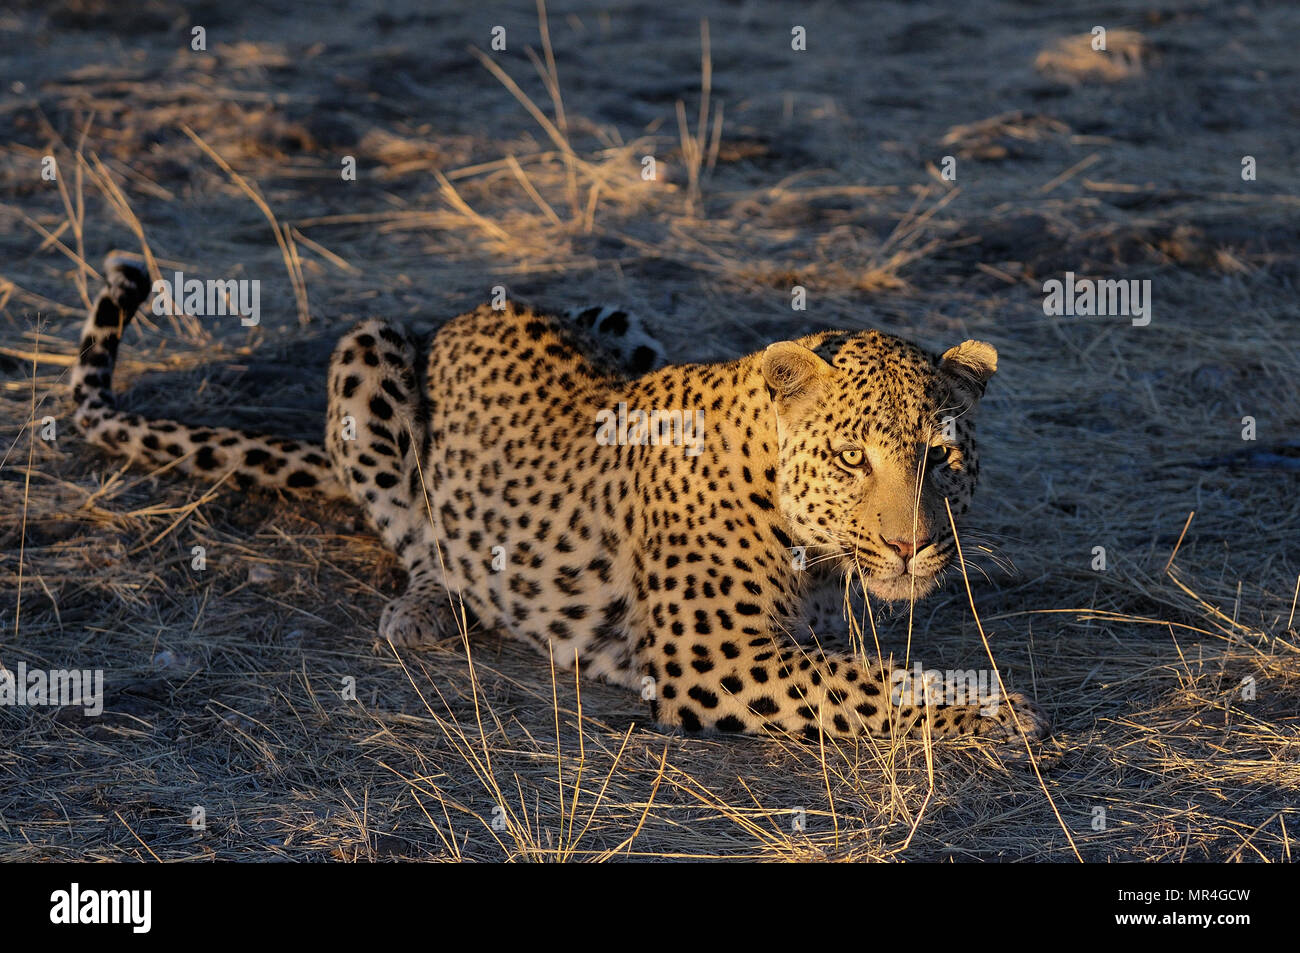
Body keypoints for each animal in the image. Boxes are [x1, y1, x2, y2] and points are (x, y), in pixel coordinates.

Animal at [71, 252, 1045, 743]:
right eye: (850, 456)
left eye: (940, 456)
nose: (913, 546)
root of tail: (478, 311)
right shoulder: (714, 659)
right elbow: (868, 685)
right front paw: (995, 707)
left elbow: (862, 662)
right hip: (367, 352)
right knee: (418, 533)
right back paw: (427, 608)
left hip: (620, 316)